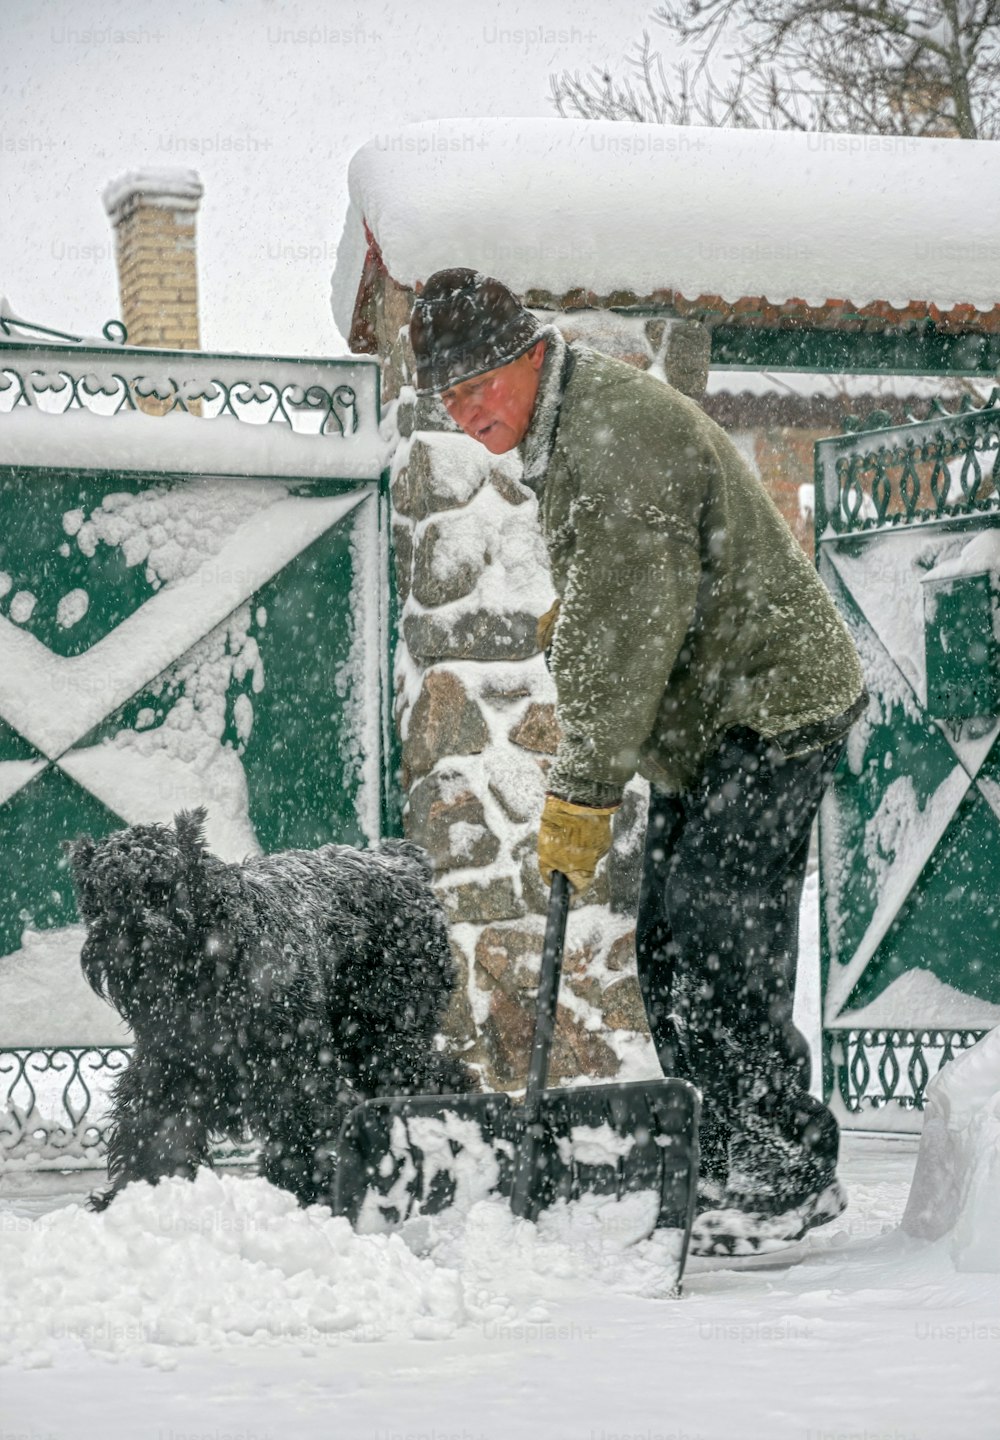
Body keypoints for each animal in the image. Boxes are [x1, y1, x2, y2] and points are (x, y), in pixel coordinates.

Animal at [68, 817, 472, 1209]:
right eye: (103, 896)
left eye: (160, 887)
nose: (124, 937)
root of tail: (404, 862)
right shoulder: (172, 1068)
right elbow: (157, 1130)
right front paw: (139, 1190)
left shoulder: (292, 1069)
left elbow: (304, 1126)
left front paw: (311, 1187)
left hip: (382, 1037)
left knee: (433, 1077)